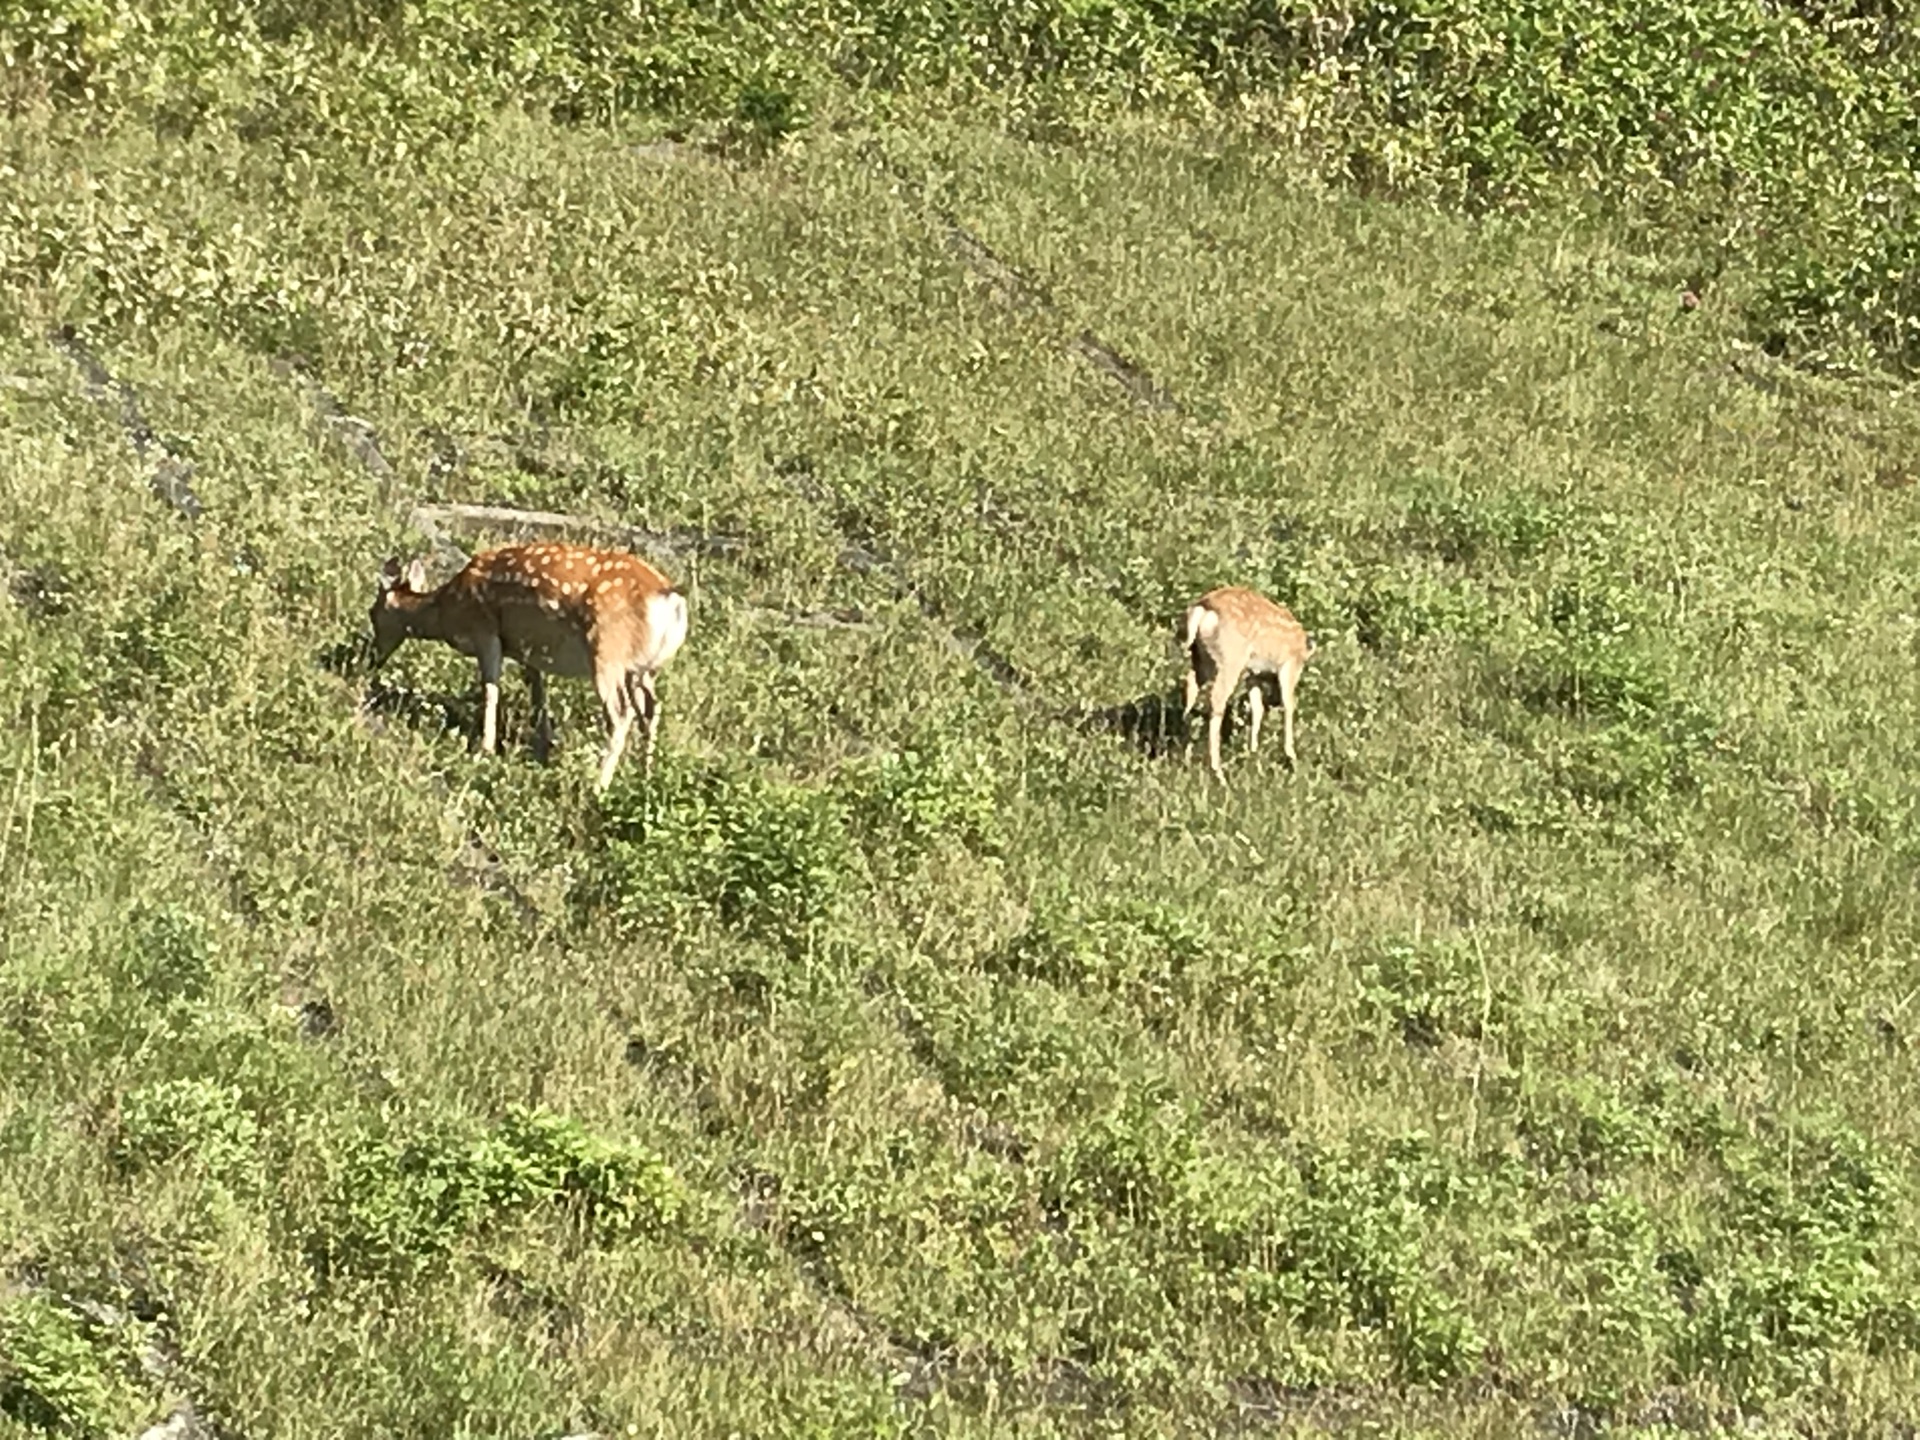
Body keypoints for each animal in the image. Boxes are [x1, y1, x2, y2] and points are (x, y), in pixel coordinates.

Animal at [366, 545, 691, 791]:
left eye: (372, 613)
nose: (371, 659)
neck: (448, 611)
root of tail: (670, 597)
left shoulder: (486, 631)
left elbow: (490, 689)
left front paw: (485, 749)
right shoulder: (528, 650)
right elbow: (538, 694)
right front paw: (542, 748)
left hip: (607, 651)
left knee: (621, 715)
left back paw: (598, 786)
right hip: (643, 669)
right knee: (650, 711)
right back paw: (645, 776)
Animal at [1175, 587, 1313, 783]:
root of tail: (1204, 608)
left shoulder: (1253, 674)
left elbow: (1258, 709)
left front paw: (1254, 757)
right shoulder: (1289, 665)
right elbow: (1289, 704)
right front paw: (1291, 757)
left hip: (1200, 658)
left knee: (1191, 687)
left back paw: (1185, 754)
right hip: (1230, 658)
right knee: (1216, 699)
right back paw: (1218, 773)